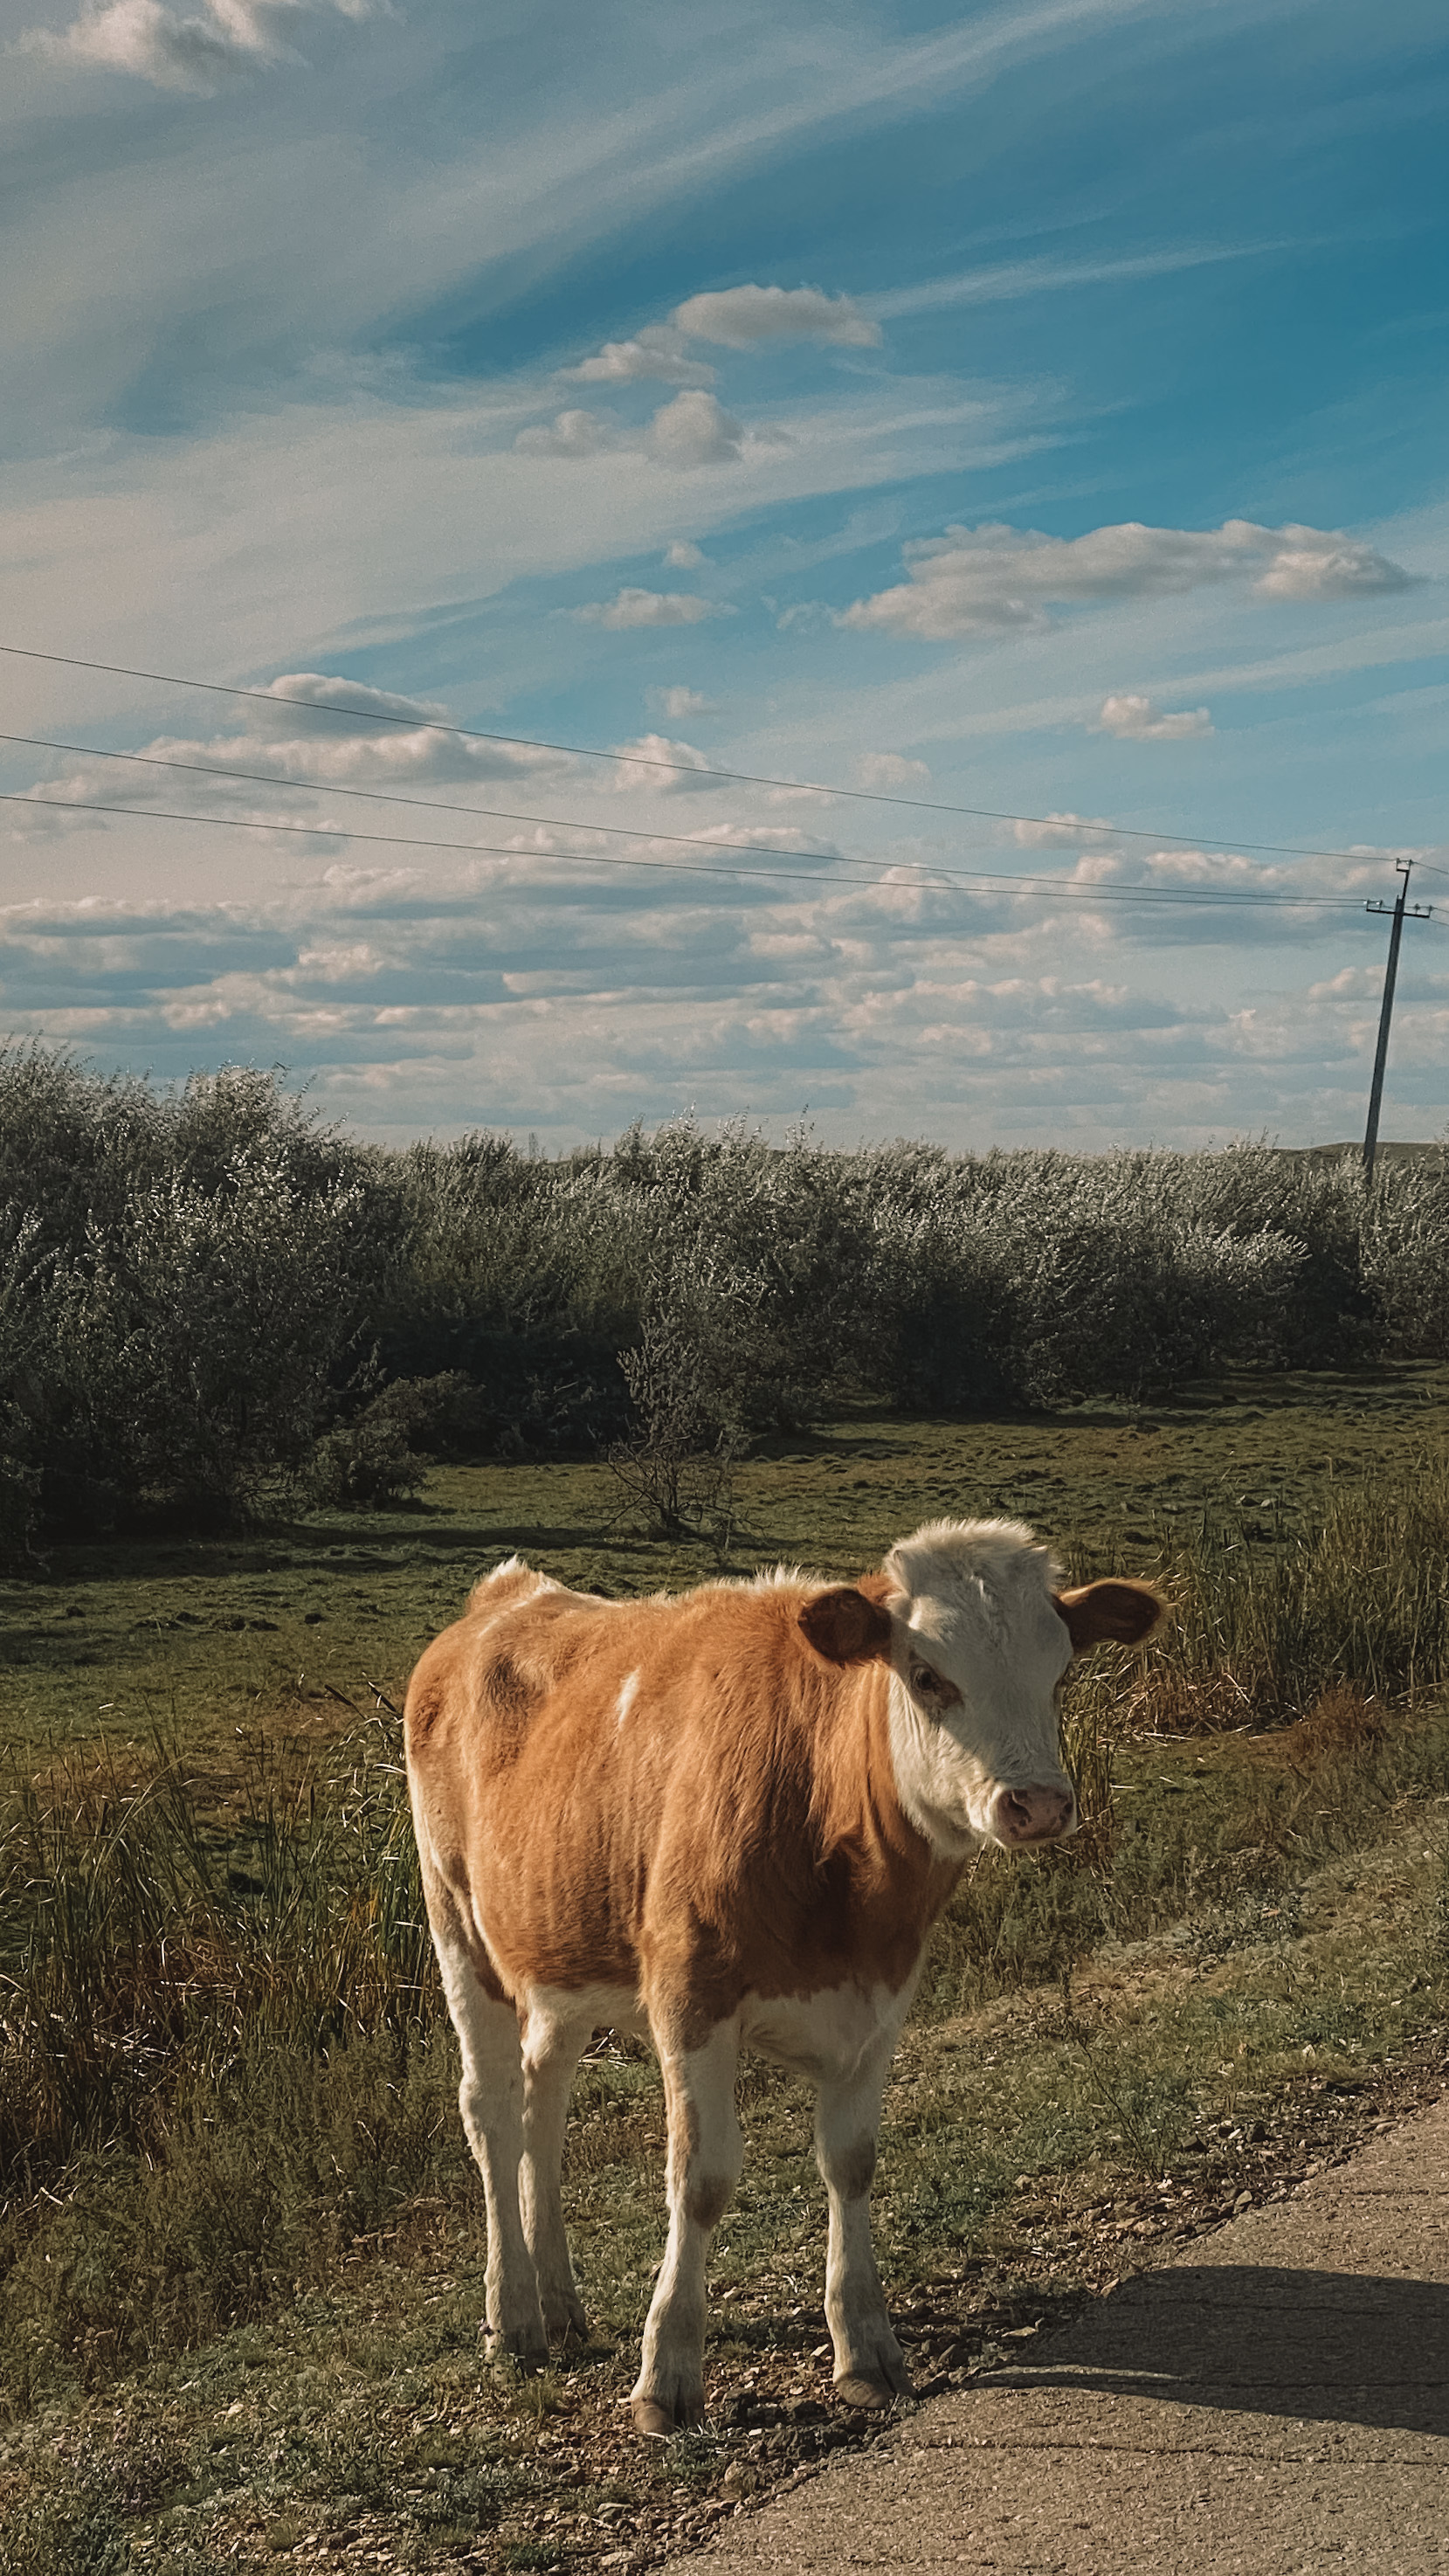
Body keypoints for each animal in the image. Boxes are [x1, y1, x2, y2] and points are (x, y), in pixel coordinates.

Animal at [401, 1515, 1163, 2441]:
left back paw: (558, 2302)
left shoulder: (880, 2001)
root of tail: (509, 1593)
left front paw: (866, 2345)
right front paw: (667, 2370)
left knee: (543, 2097)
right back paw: (512, 2316)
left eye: (1059, 1672)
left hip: (560, 1950)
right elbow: (699, 2179)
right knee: (492, 2107)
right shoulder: (690, 1992)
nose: (1040, 1804)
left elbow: (851, 2161)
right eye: (926, 1675)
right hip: (456, 1920)